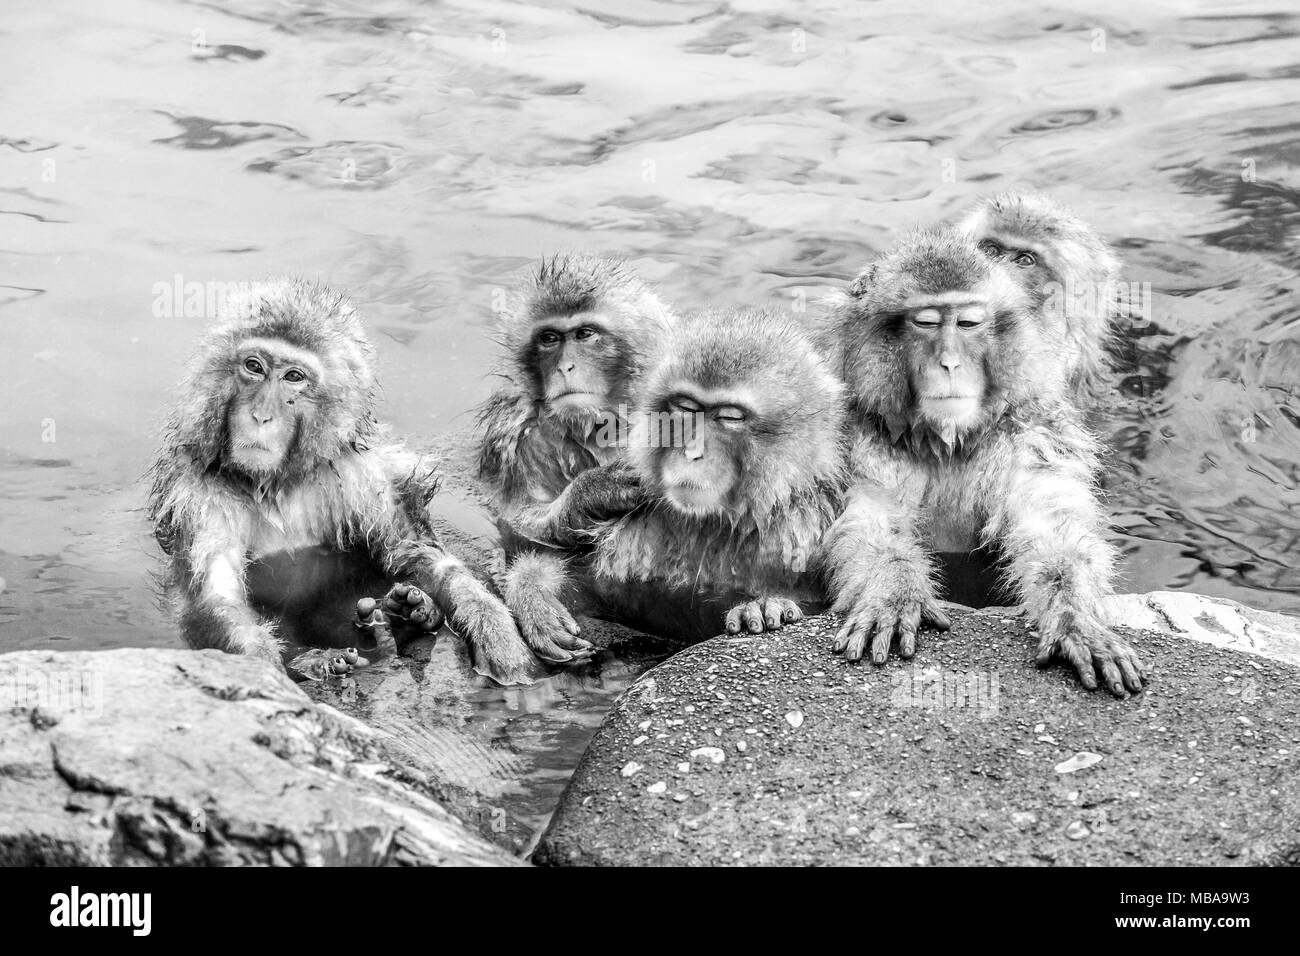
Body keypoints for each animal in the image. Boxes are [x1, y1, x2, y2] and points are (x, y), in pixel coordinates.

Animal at [148, 278, 538, 686]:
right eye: (254, 367)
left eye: (293, 377)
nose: (260, 415)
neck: (278, 485)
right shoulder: (200, 495)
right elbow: (218, 599)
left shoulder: (361, 475)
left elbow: (411, 551)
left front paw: (491, 626)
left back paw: (408, 615)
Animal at [821, 227, 1149, 697]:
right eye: (925, 322)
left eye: (968, 324)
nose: (949, 363)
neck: (947, 442)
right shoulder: (861, 438)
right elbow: (875, 520)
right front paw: (895, 590)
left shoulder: (1032, 432)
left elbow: (1051, 523)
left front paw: (1073, 617)